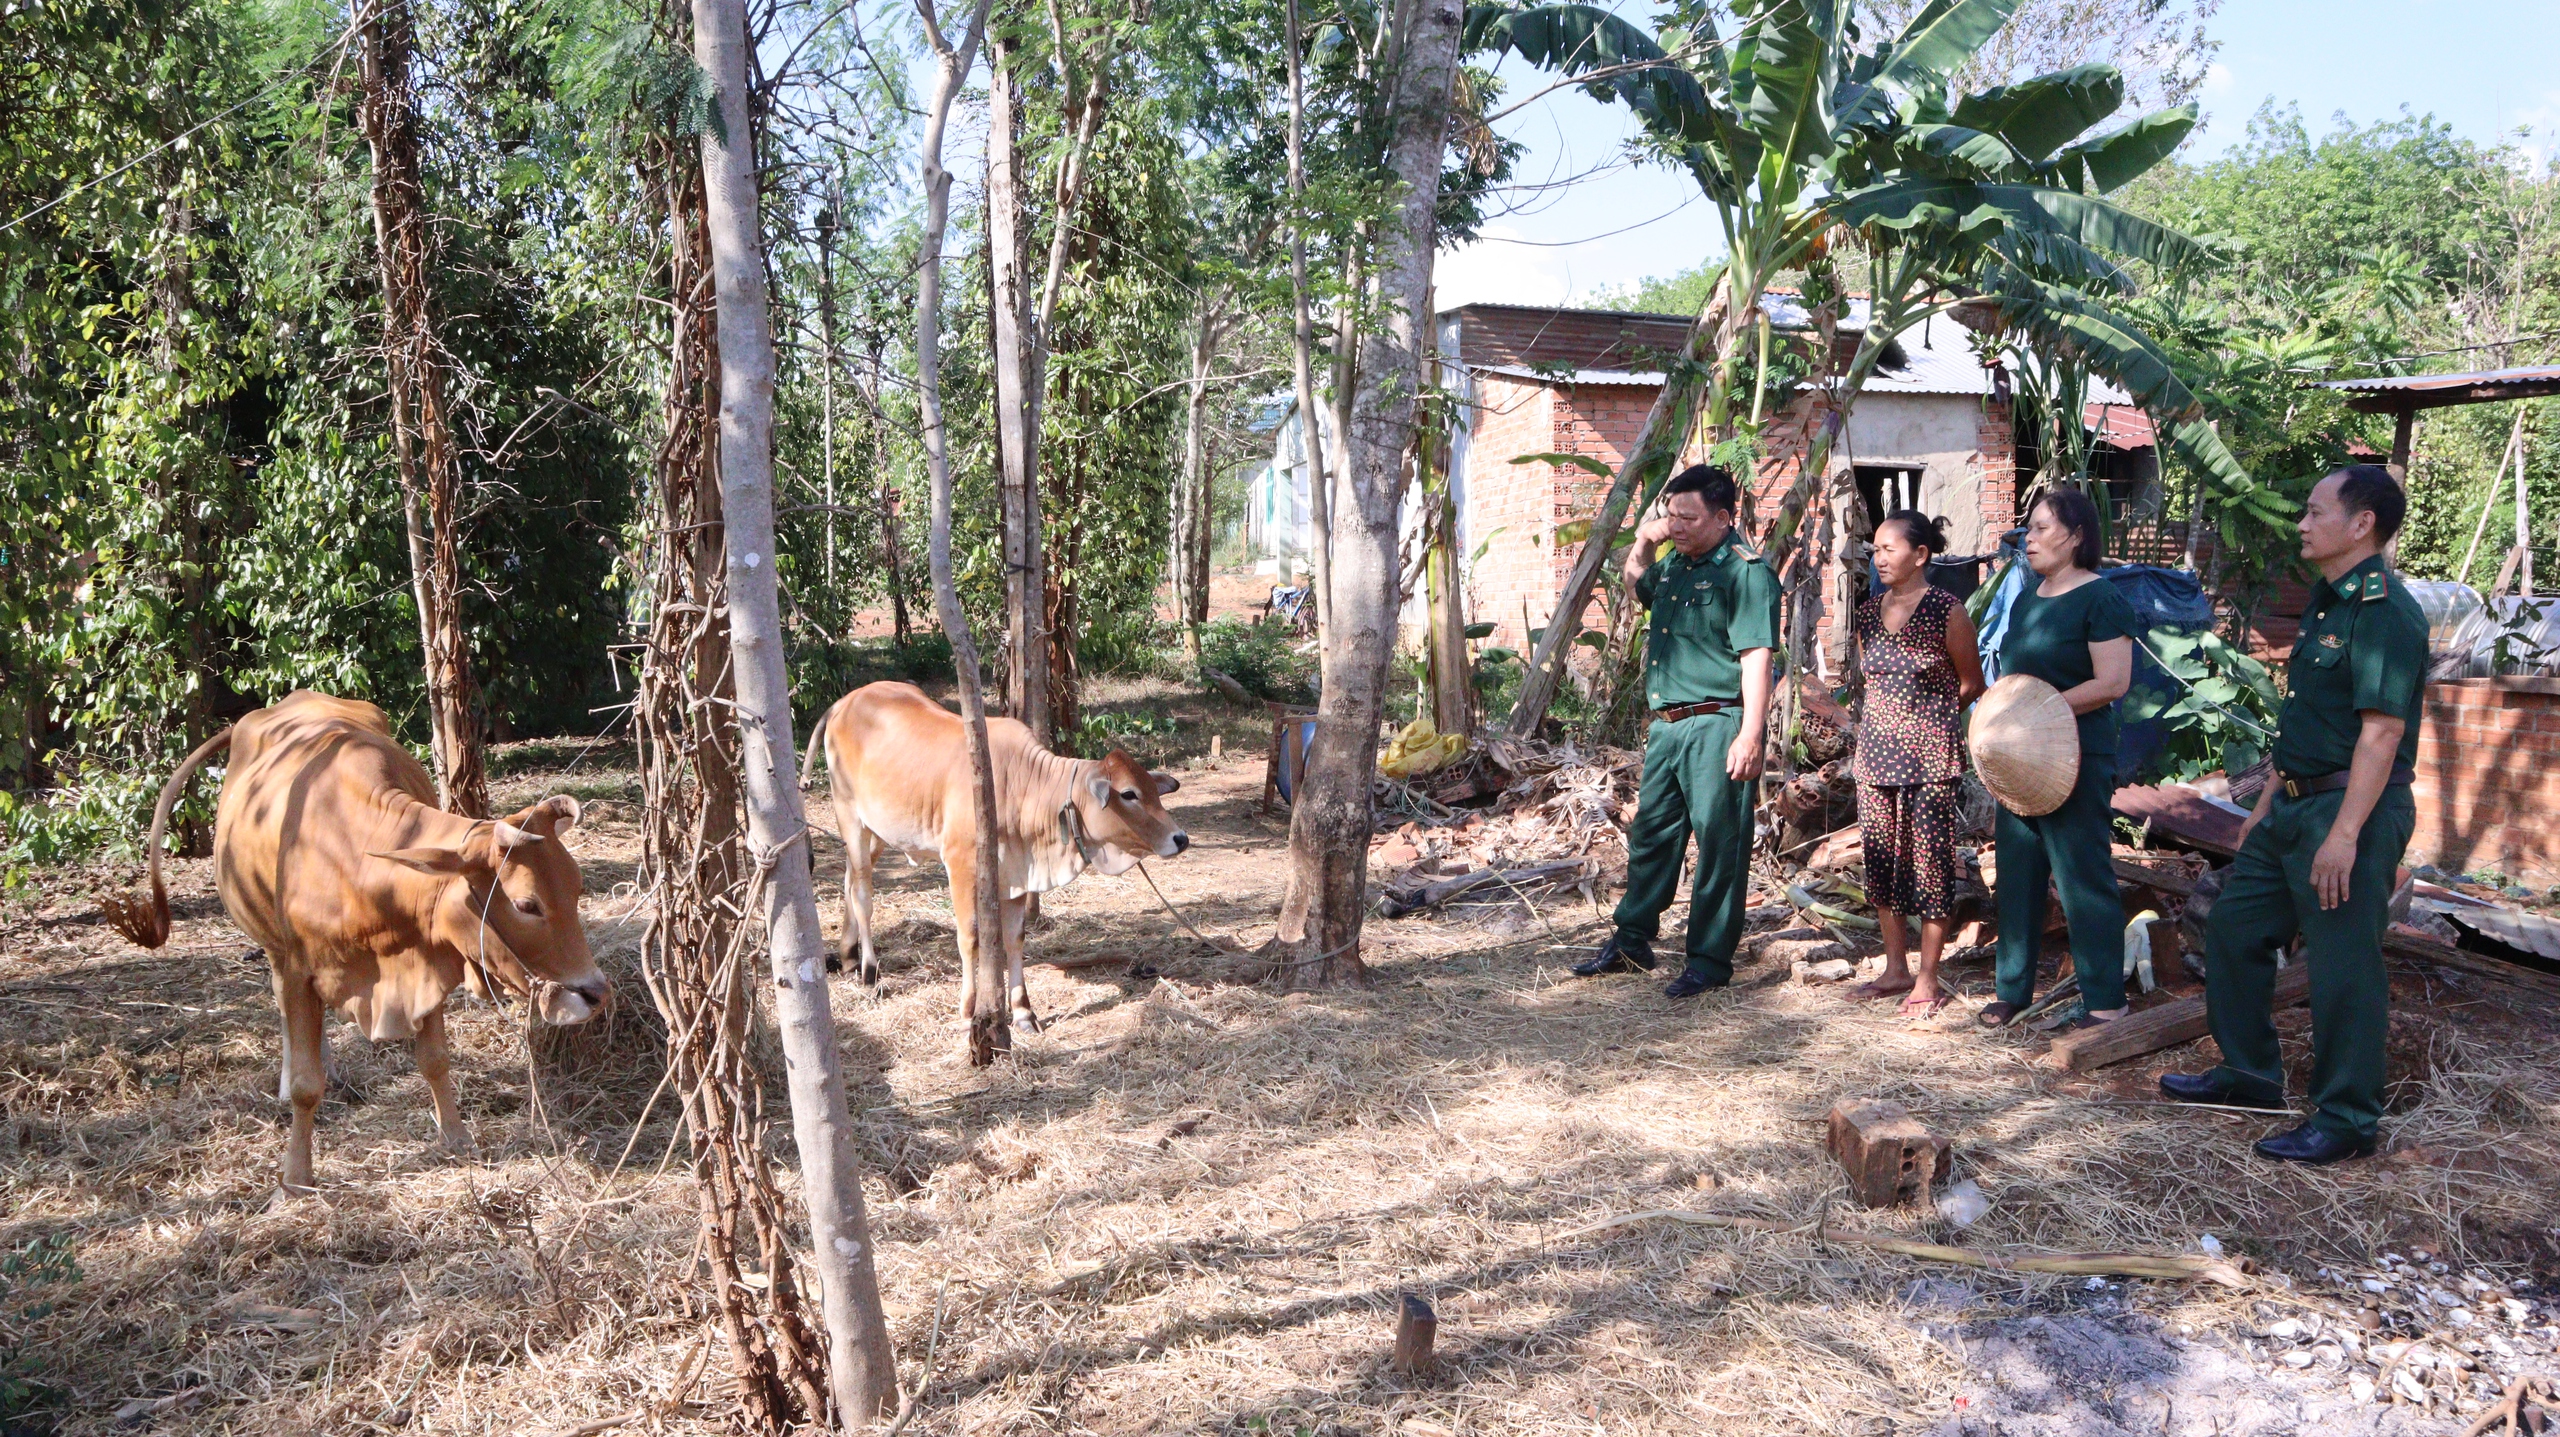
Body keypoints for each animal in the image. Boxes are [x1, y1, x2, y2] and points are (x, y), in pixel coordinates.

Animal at [112, 691, 611, 1183]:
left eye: (576, 888)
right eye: (527, 905)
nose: (597, 993)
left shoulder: (424, 961)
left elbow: (435, 1059)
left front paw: (456, 1139)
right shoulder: (299, 969)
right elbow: (306, 1085)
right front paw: (294, 1178)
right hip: (273, 947)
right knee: (280, 1003)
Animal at [808, 676, 1187, 1034]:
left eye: (1154, 791)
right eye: (1129, 794)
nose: (1180, 838)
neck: (1021, 786)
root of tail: (845, 702)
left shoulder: (1017, 874)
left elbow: (1014, 939)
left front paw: (1022, 1012)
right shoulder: (960, 866)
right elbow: (970, 937)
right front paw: (968, 1012)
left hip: (877, 830)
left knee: (850, 879)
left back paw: (848, 957)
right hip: (850, 816)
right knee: (862, 892)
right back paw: (869, 970)